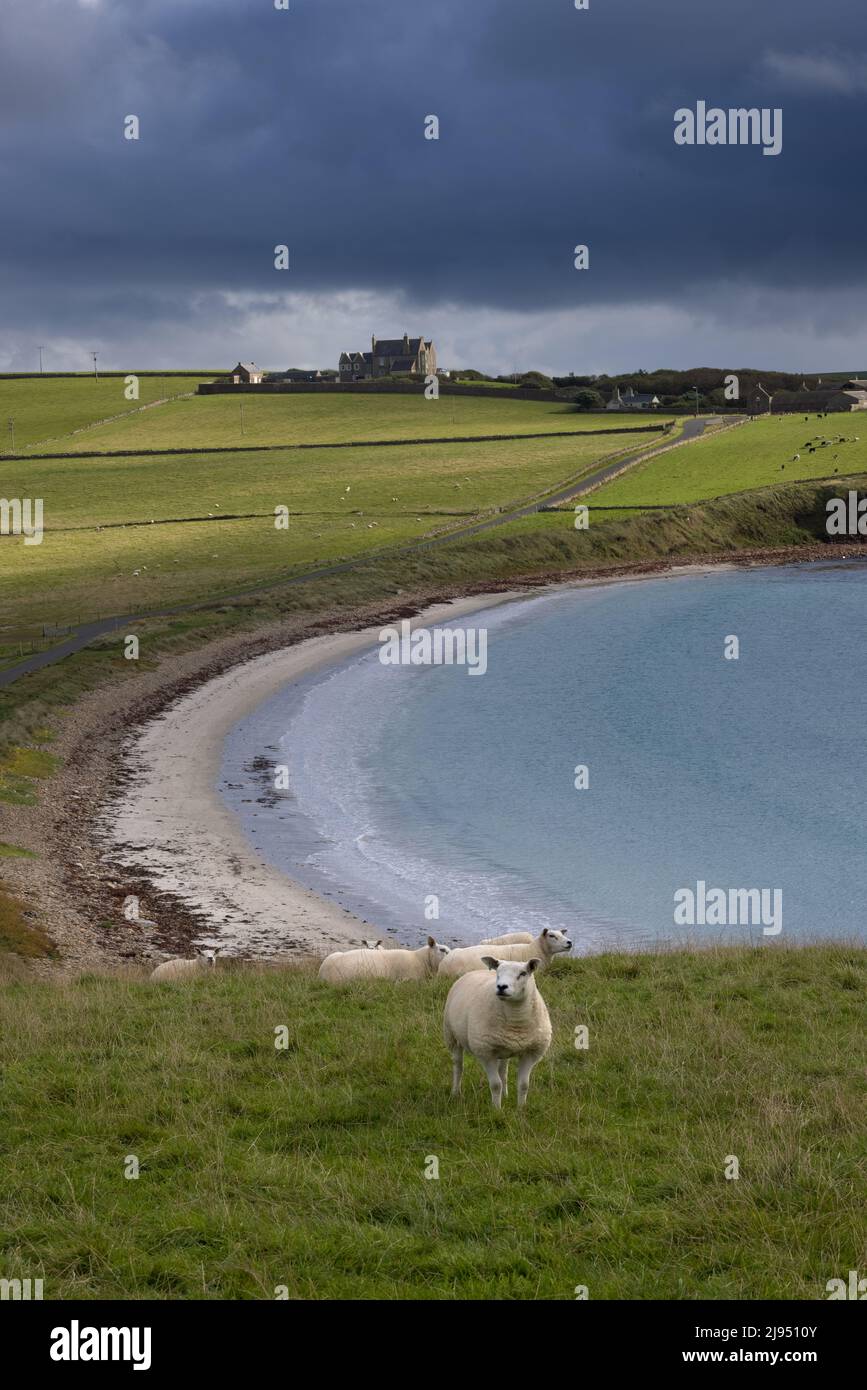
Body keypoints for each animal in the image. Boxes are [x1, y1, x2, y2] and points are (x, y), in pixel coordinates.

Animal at [444, 956, 552, 1106]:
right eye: (498, 973)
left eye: (523, 973)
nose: (501, 987)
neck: (516, 1020)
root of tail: (475, 971)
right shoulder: (486, 1053)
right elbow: (496, 1085)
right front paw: (496, 1108)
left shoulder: (531, 1053)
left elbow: (523, 1085)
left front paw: (521, 1108)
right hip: (451, 1036)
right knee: (458, 1066)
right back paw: (455, 1093)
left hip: (505, 1048)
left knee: (503, 1071)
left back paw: (505, 1095)